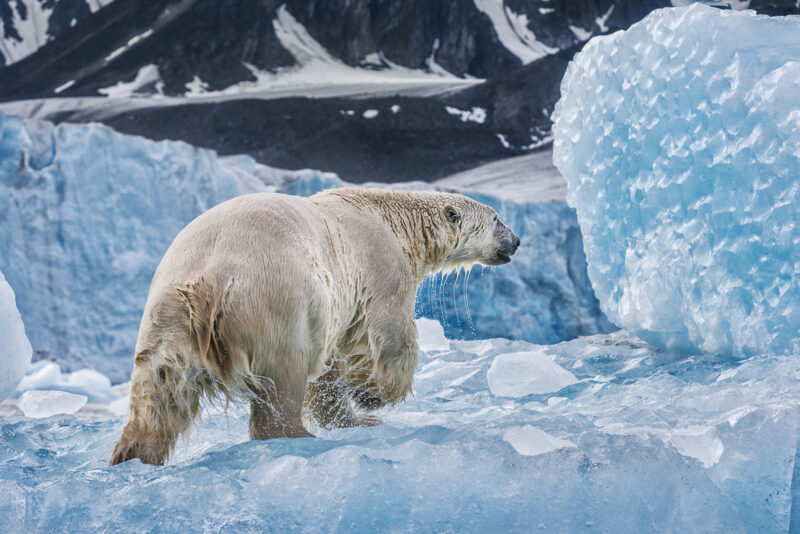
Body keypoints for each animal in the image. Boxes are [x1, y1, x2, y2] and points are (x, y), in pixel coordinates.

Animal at [111, 188, 520, 464]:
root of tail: (209, 283)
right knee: (284, 378)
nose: (516, 241)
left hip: (167, 316)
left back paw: (134, 453)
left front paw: (356, 414)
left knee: (160, 390)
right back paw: (296, 434)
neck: (396, 221)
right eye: (497, 218)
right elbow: (389, 332)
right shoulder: (381, 268)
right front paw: (372, 396)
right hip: (275, 304)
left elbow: (333, 365)